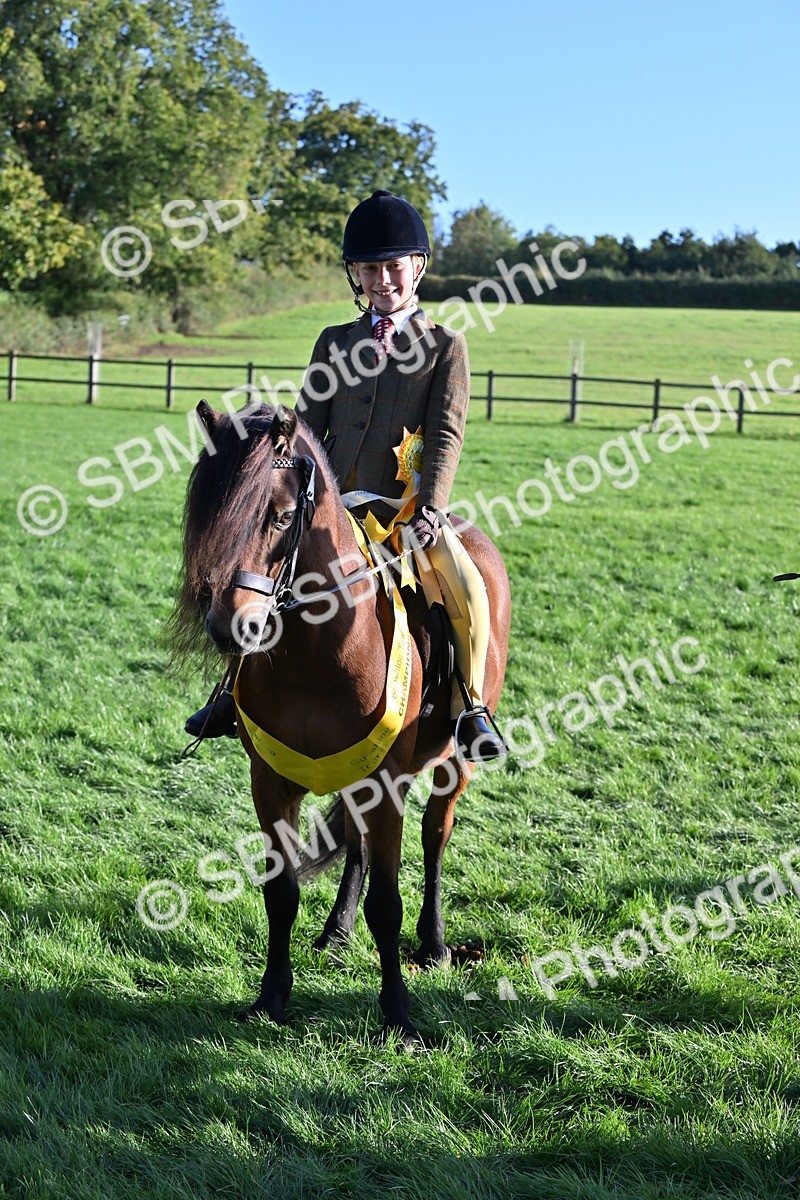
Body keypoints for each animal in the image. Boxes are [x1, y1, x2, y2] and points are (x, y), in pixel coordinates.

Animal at [168, 400, 511, 1045]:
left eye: (280, 517)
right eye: (203, 516)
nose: (230, 628)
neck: (317, 649)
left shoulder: (388, 784)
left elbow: (388, 903)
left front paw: (398, 1016)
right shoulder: (271, 783)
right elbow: (281, 892)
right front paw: (271, 997)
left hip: (450, 765)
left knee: (435, 835)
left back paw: (433, 944)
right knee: (355, 844)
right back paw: (336, 930)